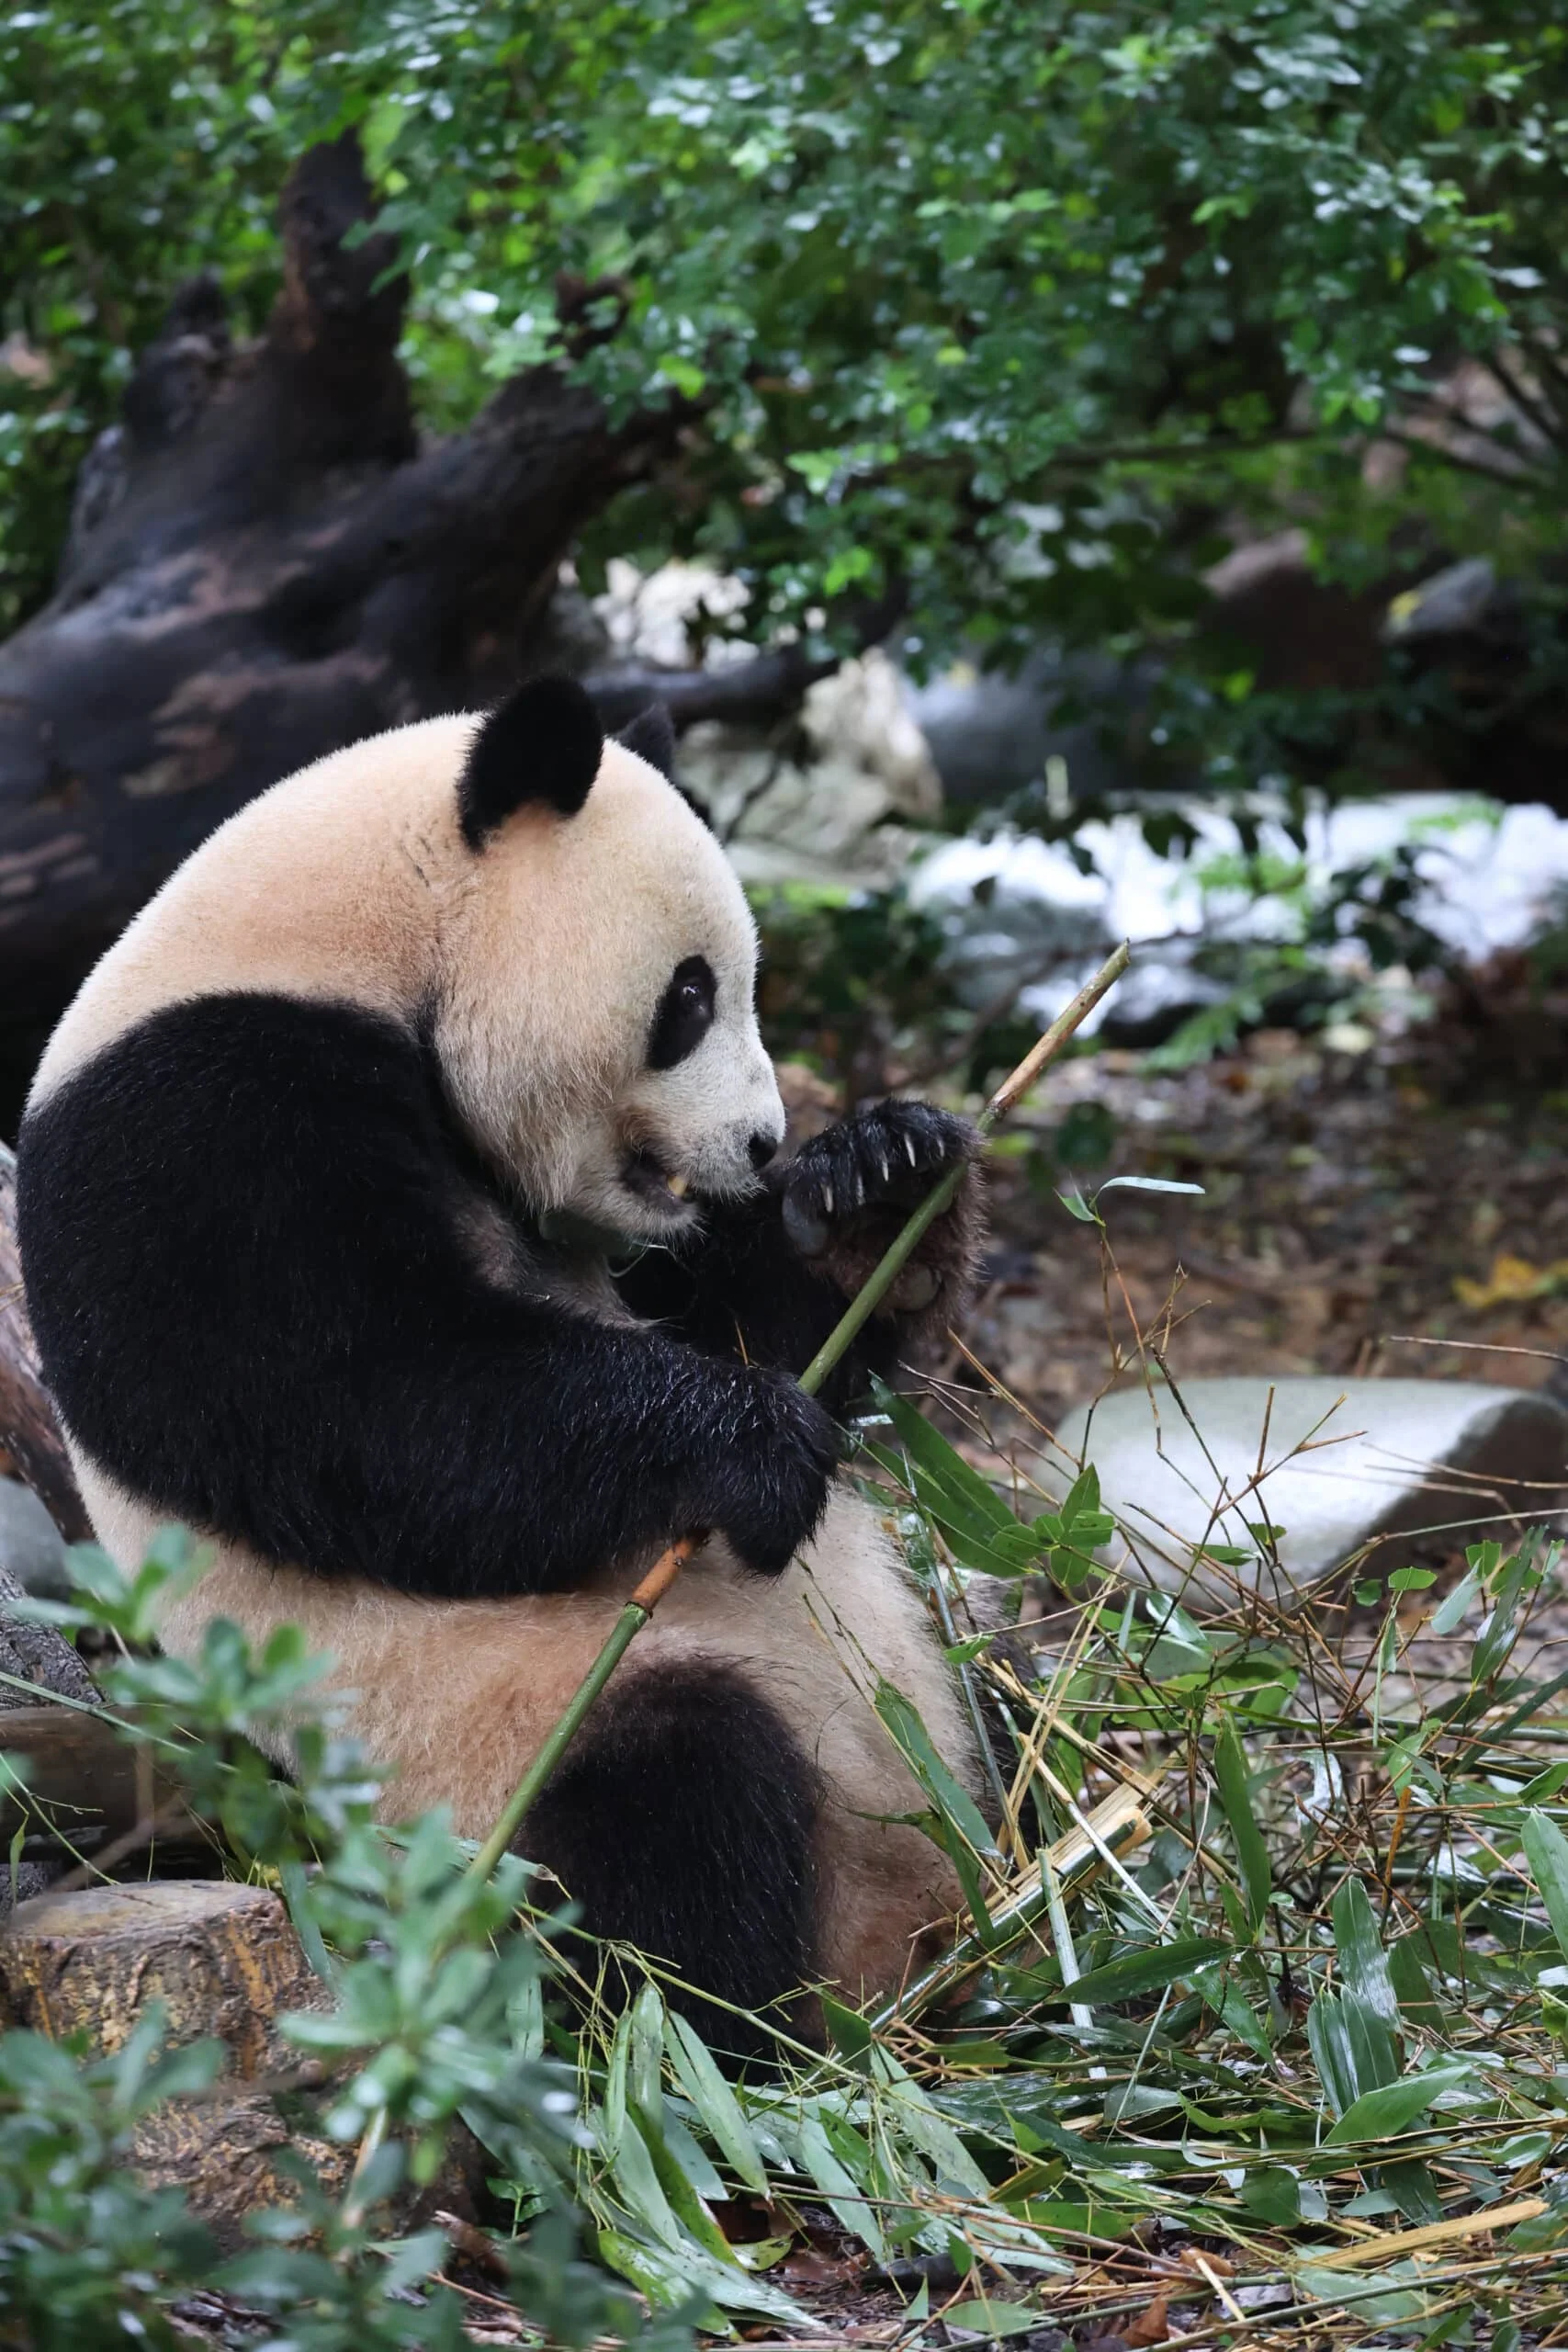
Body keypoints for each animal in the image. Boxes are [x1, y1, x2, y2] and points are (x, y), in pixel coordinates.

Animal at [15, 674, 988, 2054]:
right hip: (487, 1747)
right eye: (690, 998)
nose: (758, 1144)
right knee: (674, 1805)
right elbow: (365, 1408)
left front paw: (877, 1179)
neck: (350, 946)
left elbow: (748, 1327)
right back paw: (729, 2044)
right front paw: (750, 1448)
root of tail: (891, 1948)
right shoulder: (191, 1121)